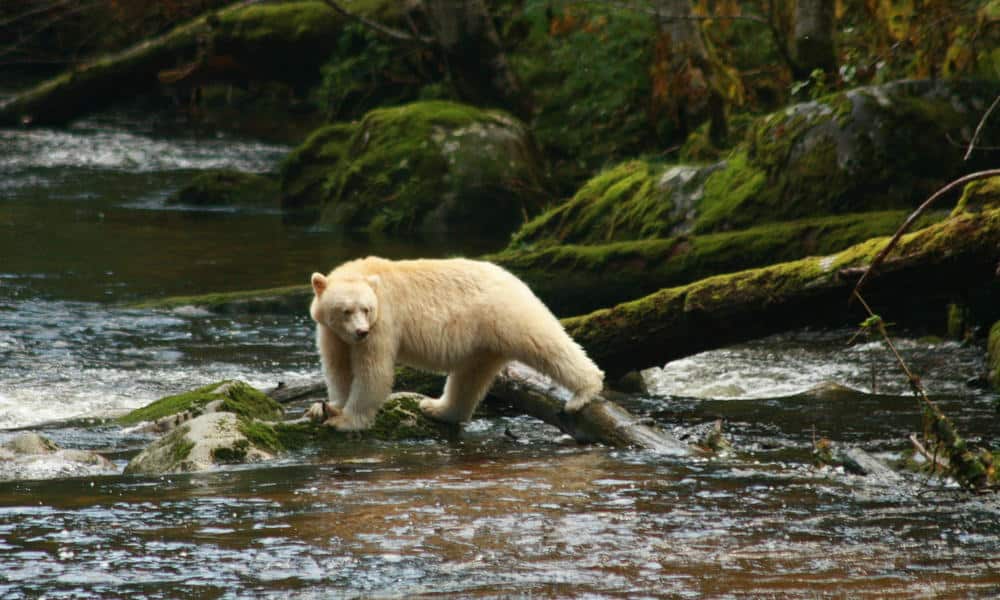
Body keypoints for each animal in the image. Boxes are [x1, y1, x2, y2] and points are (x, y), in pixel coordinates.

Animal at [306, 255, 600, 428]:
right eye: (345, 310)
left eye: (366, 309)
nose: (361, 332)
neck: (363, 271)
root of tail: (515, 279)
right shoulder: (331, 332)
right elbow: (338, 367)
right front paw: (326, 407)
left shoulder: (384, 321)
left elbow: (372, 373)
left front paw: (344, 420)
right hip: (483, 339)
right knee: (469, 377)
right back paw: (437, 408)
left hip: (507, 314)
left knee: (545, 342)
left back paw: (584, 391)